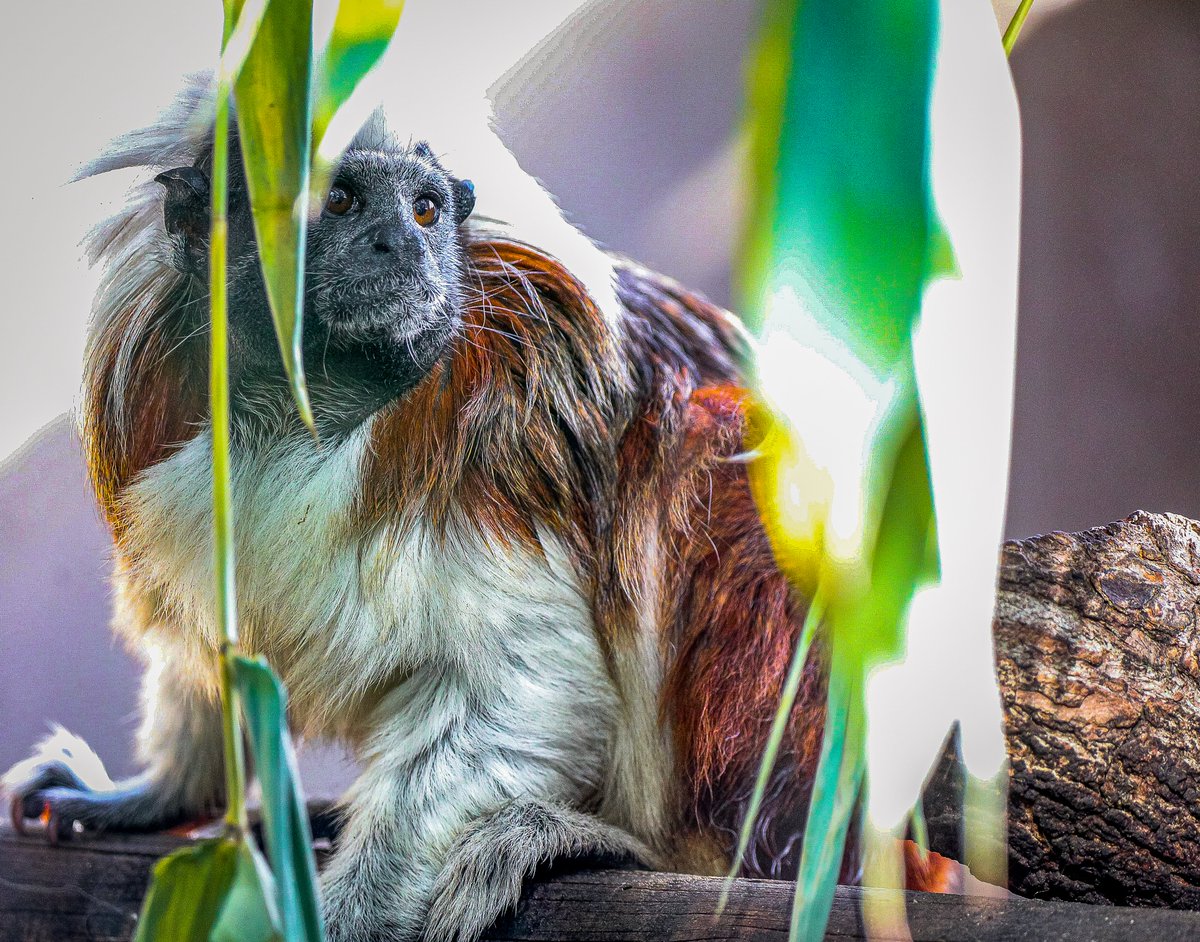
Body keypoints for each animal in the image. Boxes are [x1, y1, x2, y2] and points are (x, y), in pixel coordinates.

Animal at [3, 79, 957, 940]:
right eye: (340, 201)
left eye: (426, 211)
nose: (398, 244)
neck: (307, 414)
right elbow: (214, 658)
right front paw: (156, 794)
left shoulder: (497, 451)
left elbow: (527, 688)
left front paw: (350, 911)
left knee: (720, 453)